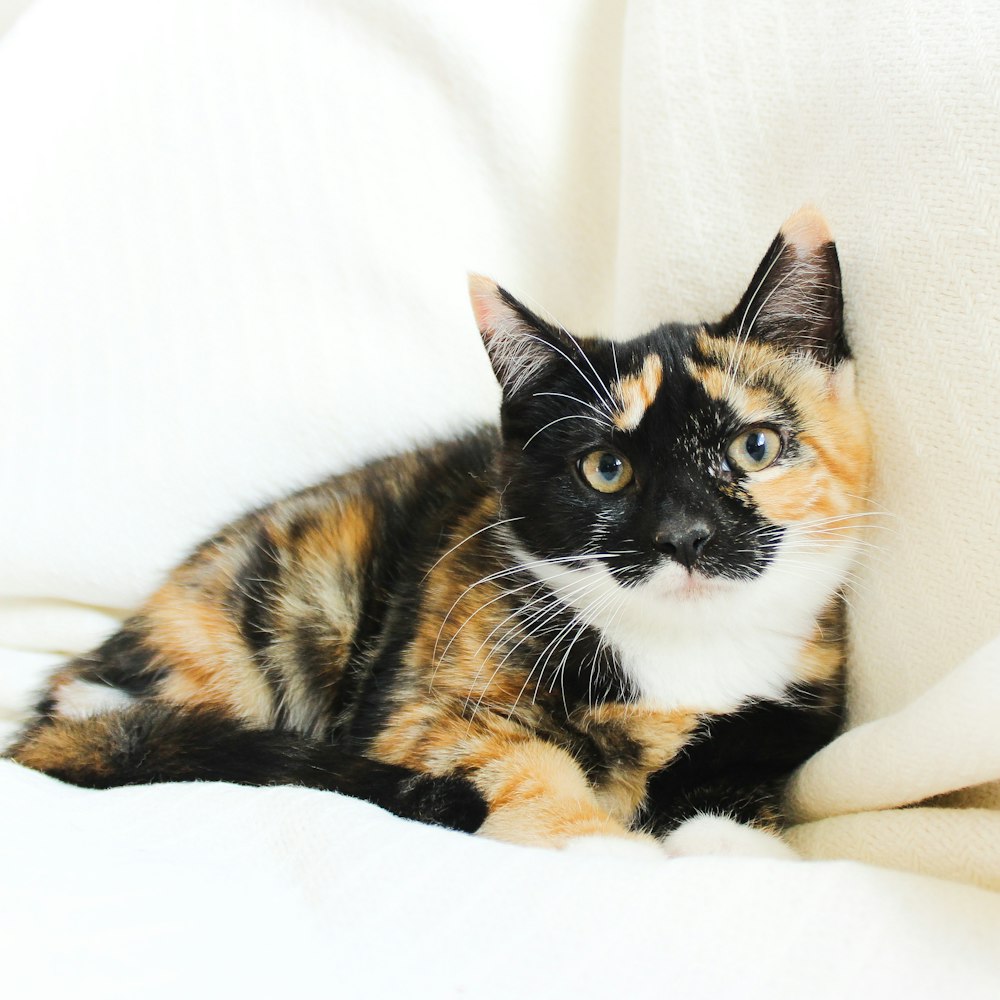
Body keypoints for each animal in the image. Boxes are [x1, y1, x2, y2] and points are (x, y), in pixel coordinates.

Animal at [5, 207, 868, 856]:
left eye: (754, 447)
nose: (683, 536)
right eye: (605, 469)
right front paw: (598, 842)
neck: (683, 652)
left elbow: (734, 777)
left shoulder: (786, 710)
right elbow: (514, 761)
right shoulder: (423, 707)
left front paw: (737, 846)